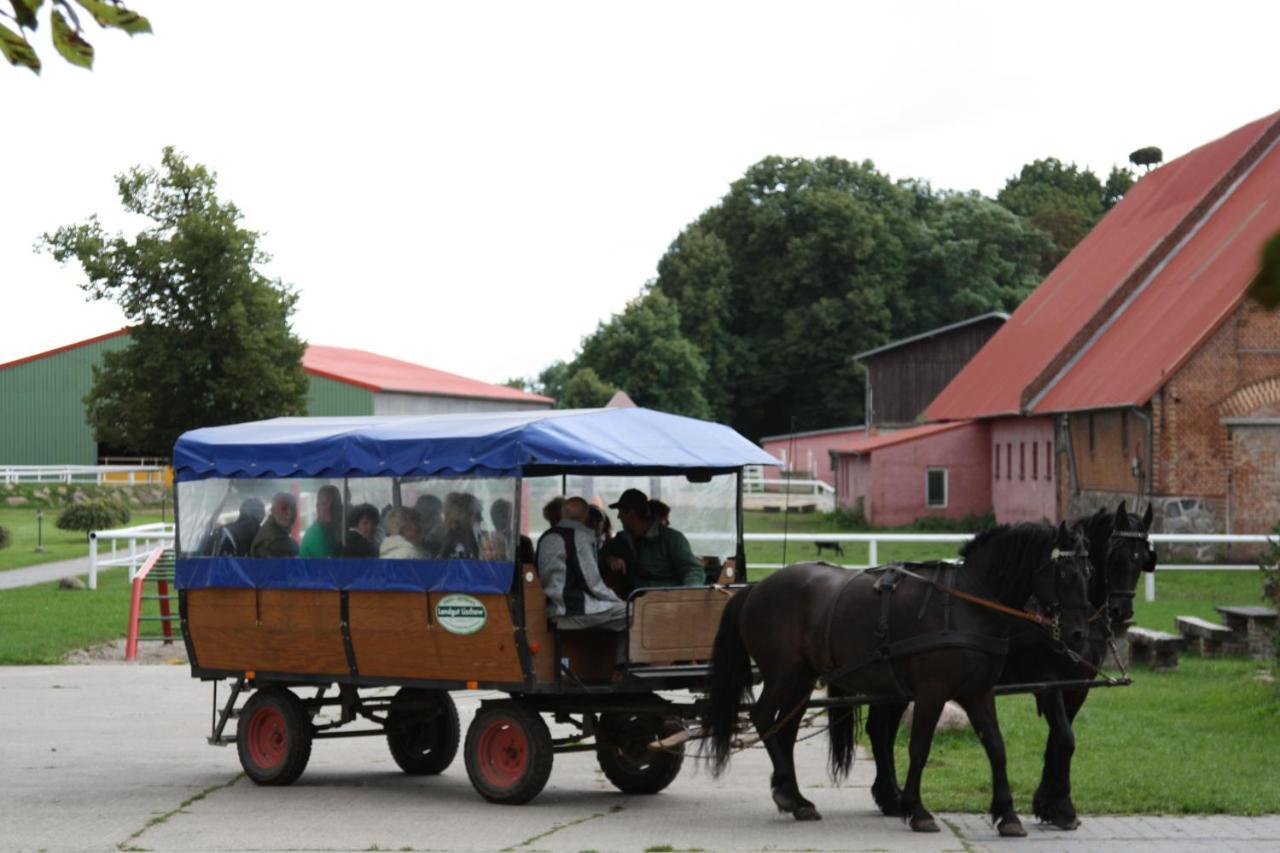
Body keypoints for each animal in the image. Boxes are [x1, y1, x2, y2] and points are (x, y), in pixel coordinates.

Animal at [701, 517, 1090, 829]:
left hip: (801, 679)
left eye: (1089, 573)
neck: (966, 602)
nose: (1078, 635)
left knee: (785, 726)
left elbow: (996, 746)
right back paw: (788, 789)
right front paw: (916, 810)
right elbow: (919, 747)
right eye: (1068, 574)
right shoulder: (932, 691)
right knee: (763, 716)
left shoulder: (978, 692)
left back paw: (794, 797)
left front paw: (1007, 814)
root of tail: (757, 588)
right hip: (785, 675)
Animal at [865, 502, 1157, 824]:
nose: (1121, 610)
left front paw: (1051, 803)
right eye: (1115, 556)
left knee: (883, 728)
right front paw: (1059, 806)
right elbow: (1065, 738)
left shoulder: (1077, 686)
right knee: (880, 729)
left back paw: (889, 795)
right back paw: (891, 796)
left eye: (1143, 559)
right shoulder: (1047, 681)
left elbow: (1059, 740)